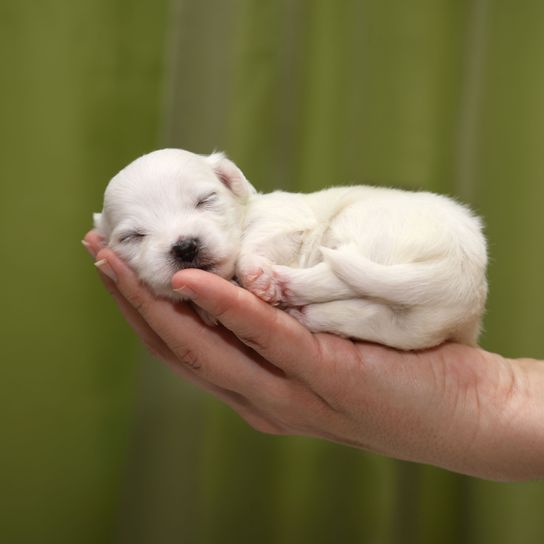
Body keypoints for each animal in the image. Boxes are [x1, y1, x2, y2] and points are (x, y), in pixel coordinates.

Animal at [91, 149, 486, 350]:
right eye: (132, 237)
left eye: (205, 200)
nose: (185, 247)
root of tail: (459, 271)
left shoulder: (282, 222)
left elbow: (254, 245)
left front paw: (255, 274)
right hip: (408, 328)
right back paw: (304, 310)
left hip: (364, 228)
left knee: (333, 274)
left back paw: (281, 284)